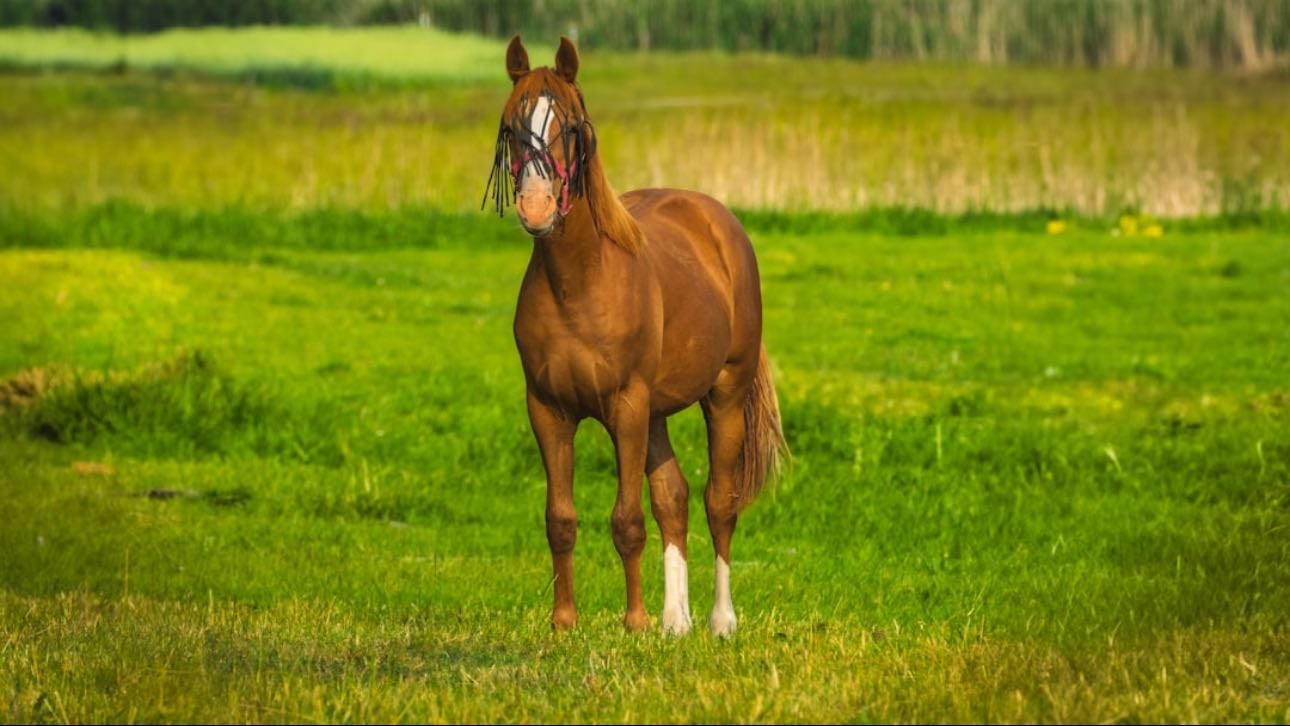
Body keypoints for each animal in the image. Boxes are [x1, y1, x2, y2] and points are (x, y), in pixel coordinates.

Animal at [484, 35, 787, 637]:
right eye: (511, 126)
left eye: (570, 125)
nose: (536, 206)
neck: (580, 283)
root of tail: (718, 221)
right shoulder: (548, 409)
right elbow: (560, 518)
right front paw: (565, 621)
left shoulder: (625, 405)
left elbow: (626, 519)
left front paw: (635, 622)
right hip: (657, 413)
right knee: (674, 497)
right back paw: (677, 620)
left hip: (723, 394)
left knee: (719, 502)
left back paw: (719, 620)